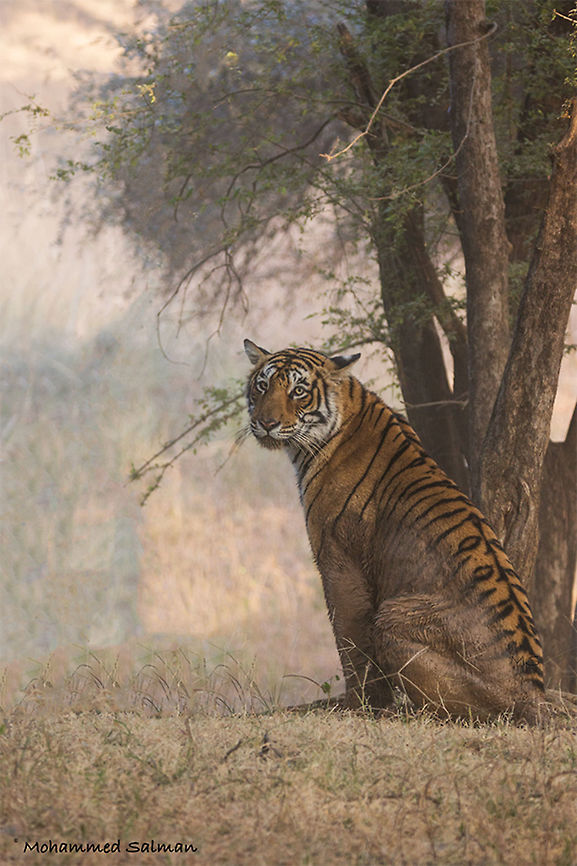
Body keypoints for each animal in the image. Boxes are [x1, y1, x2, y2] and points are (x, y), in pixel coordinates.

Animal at [243, 338, 545, 722]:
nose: (265, 423)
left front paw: (359, 704)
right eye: (262, 386)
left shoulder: (338, 559)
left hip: (392, 619)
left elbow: (350, 637)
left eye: (298, 391)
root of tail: (533, 694)